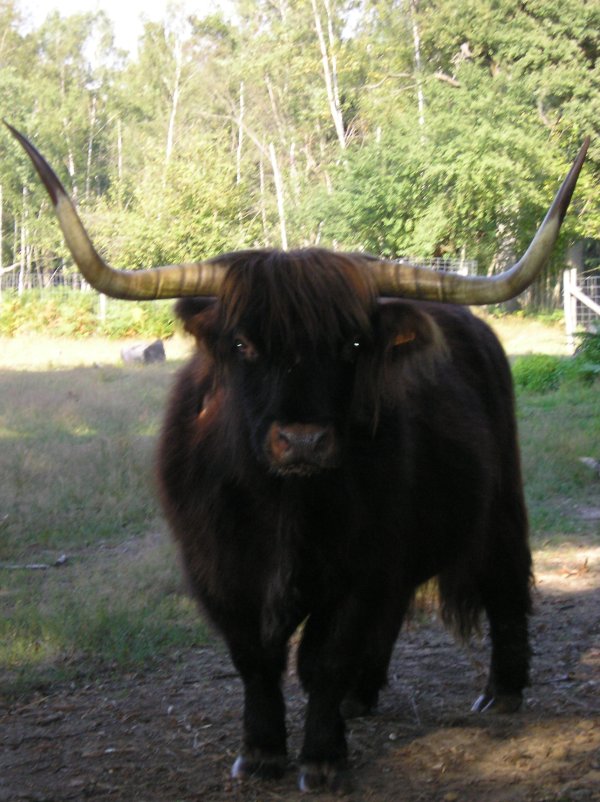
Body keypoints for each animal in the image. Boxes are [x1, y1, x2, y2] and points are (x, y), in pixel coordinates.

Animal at [8, 124, 588, 792]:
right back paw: (363, 697)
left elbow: (323, 658)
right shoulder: (218, 568)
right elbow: (255, 659)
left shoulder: (359, 567)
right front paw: (262, 751)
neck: (283, 502)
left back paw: (502, 691)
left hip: (500, 507)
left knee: (505, 584)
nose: (303, 441)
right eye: (242, 343)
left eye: (353, 344)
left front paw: (322, 757)